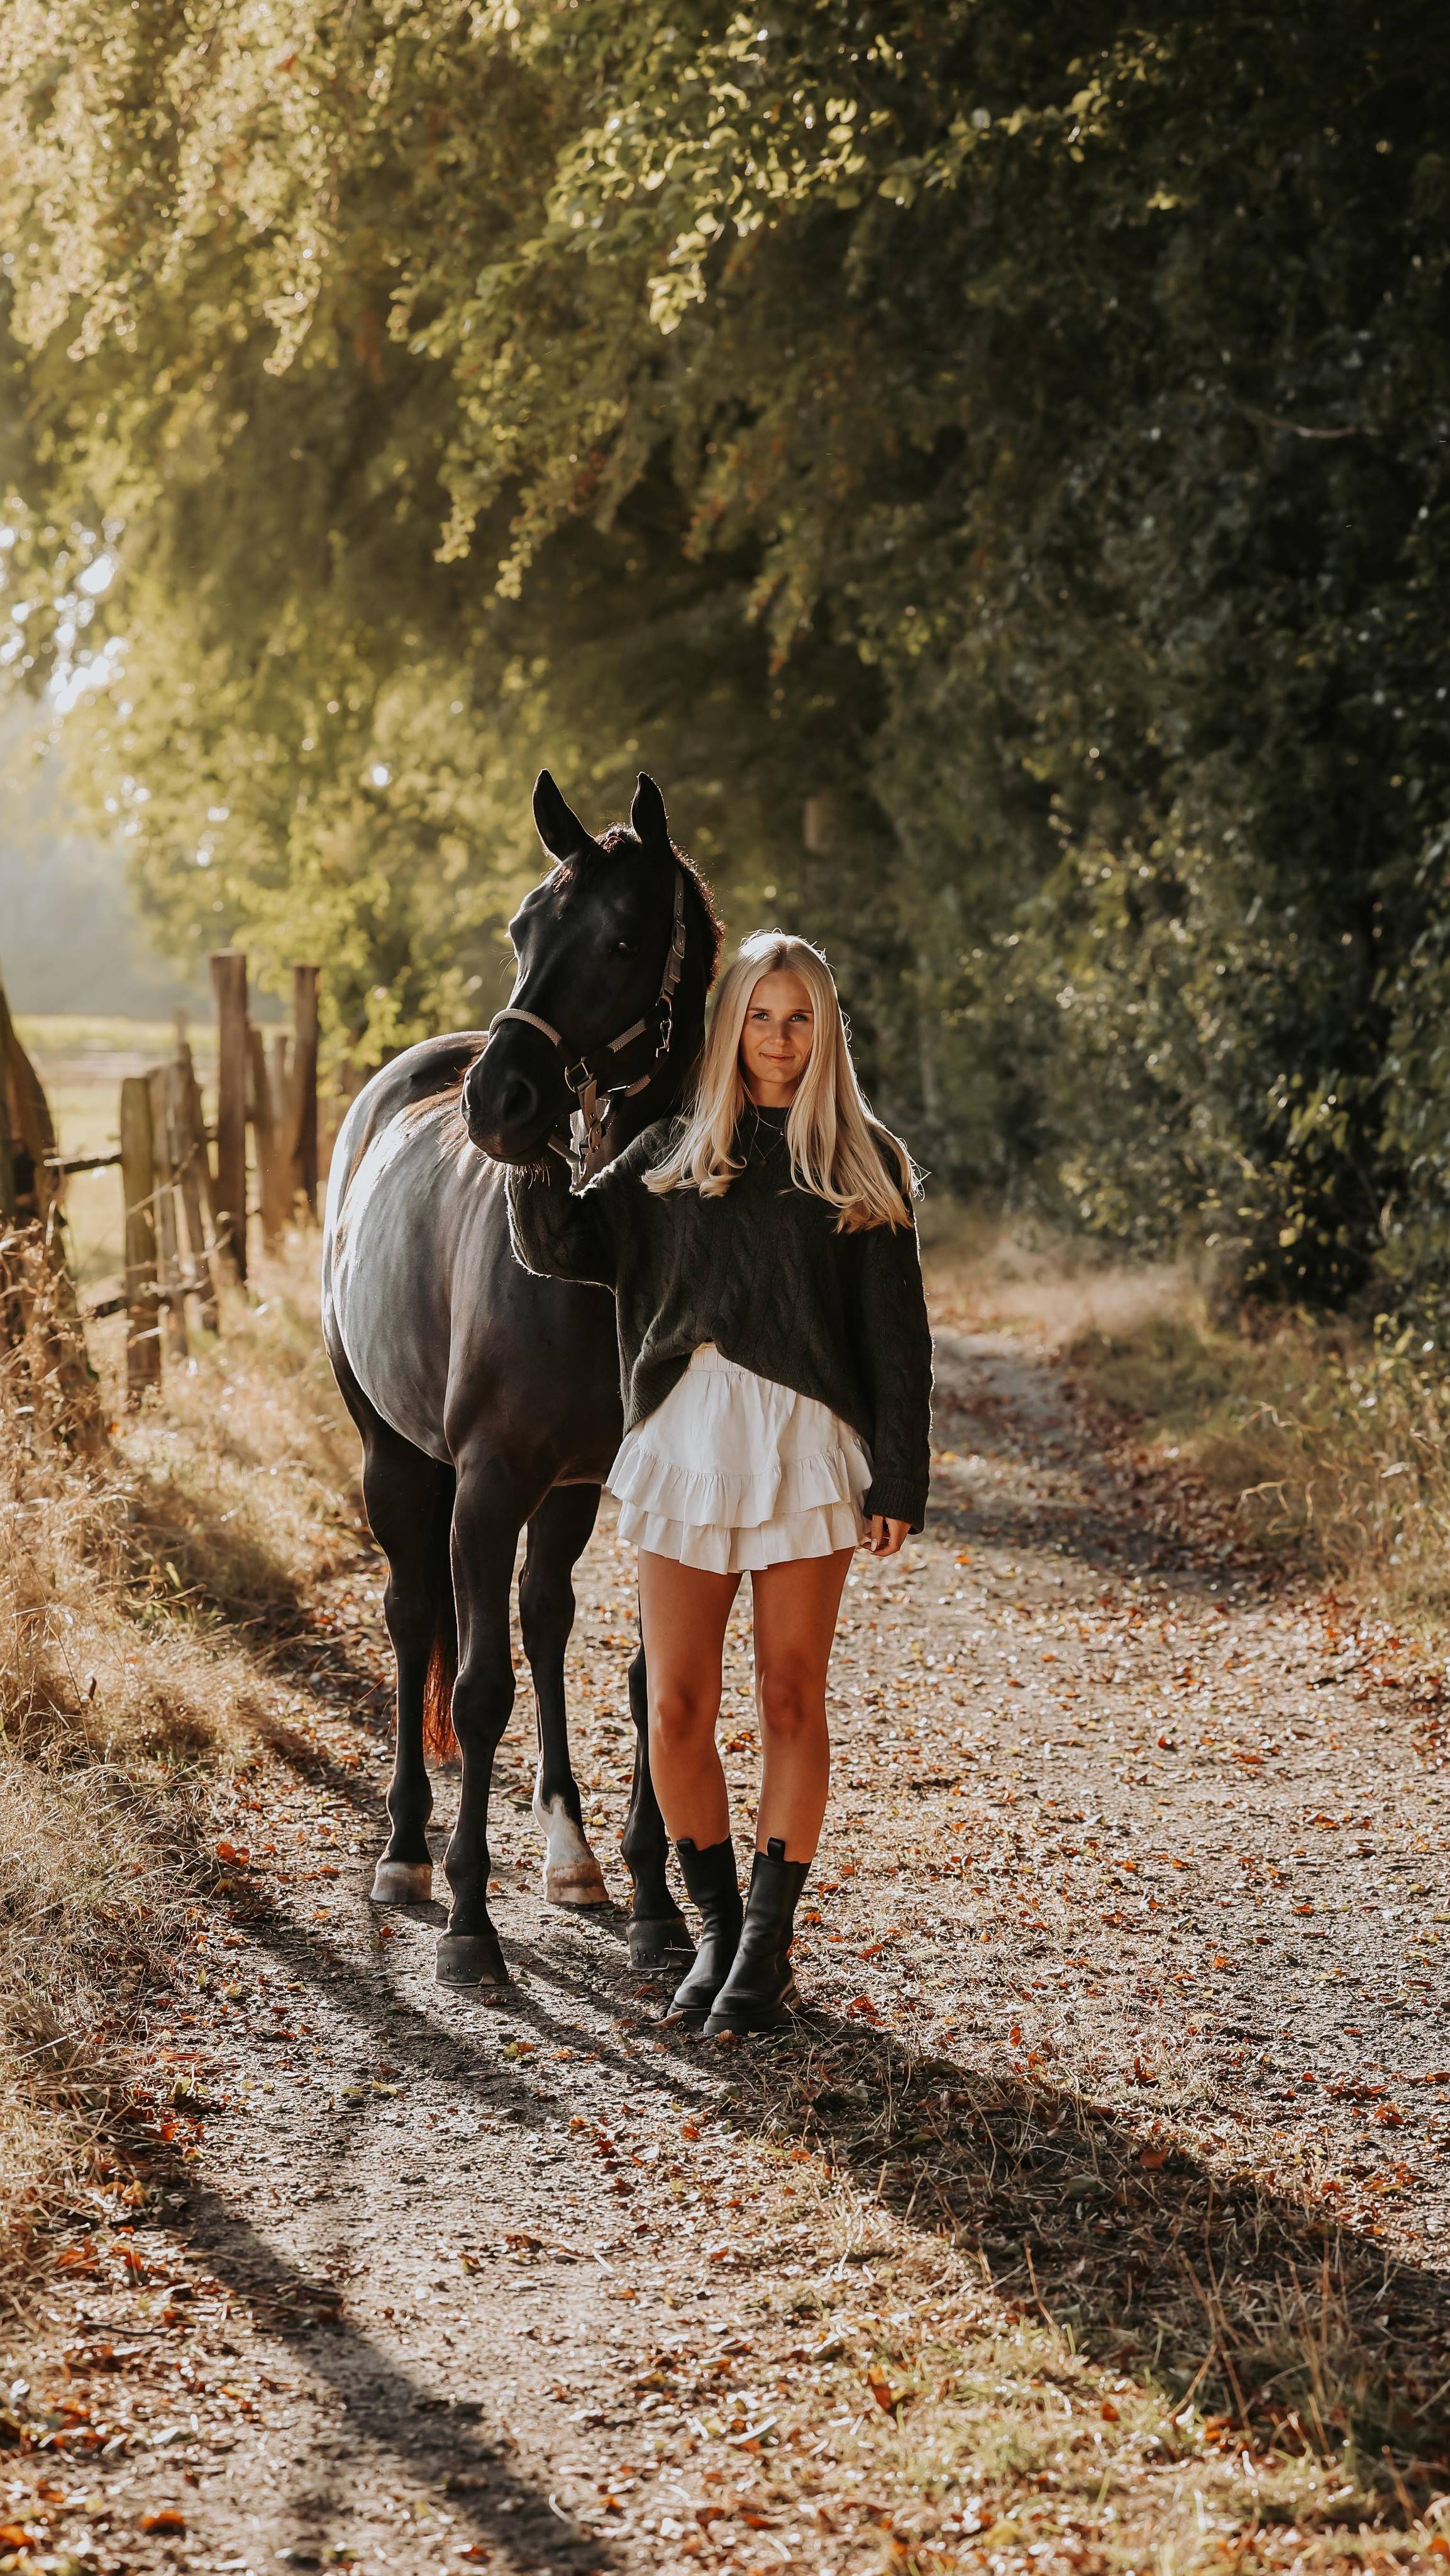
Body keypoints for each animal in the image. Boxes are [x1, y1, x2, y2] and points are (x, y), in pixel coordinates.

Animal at [321, 770, 723, 1985]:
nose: (499, 1100)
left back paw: (571, 1854)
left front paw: (655, 1907)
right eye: (521, 929)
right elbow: (477, 1684)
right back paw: (405, 1854)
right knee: (415, 1620)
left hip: (568, 1491)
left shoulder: (635, 1488)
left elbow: (647, 1679)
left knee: (545, 1617)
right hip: (396, 1461)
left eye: (626, 937)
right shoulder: (489, 1482)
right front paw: (469, 1920)